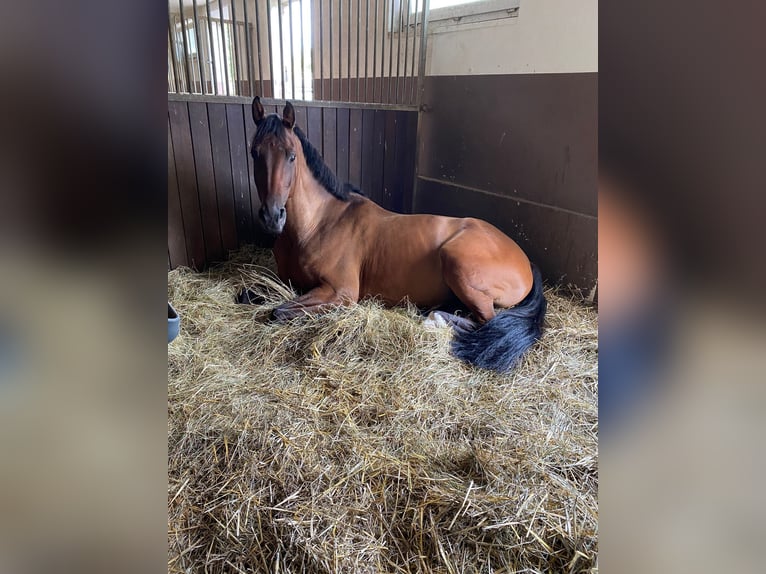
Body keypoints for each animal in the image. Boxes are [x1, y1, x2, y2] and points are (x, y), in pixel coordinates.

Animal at [238, 97, 546, 371]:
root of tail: (526, 261)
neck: (319, 224)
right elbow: (248, 295)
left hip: (458, 262)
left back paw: (434, 320)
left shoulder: (340, 293)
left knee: (487, 320)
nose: (272, 216)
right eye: (254, 152)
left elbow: (279, 311)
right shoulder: (285, 280)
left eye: (291, 155)